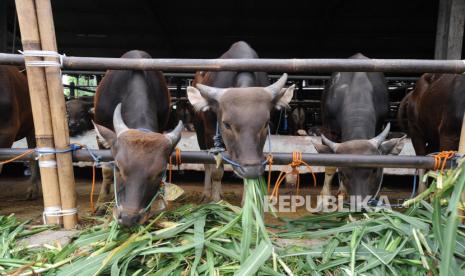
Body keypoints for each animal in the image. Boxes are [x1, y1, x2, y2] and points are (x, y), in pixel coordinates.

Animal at [186, 40, 292, 201]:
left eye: (266, 124)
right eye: (226, 124)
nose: (251, 170)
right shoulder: (210, 134)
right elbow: (216, 170)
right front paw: (216, 201)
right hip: (199, 132)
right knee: (206, 163)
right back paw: (206, 193)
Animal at [314, 53, 404, 198]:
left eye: (374, 170)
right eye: (342, 173)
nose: (359, 199)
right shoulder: (329, 129)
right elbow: (329, 164)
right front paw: (325, 196)